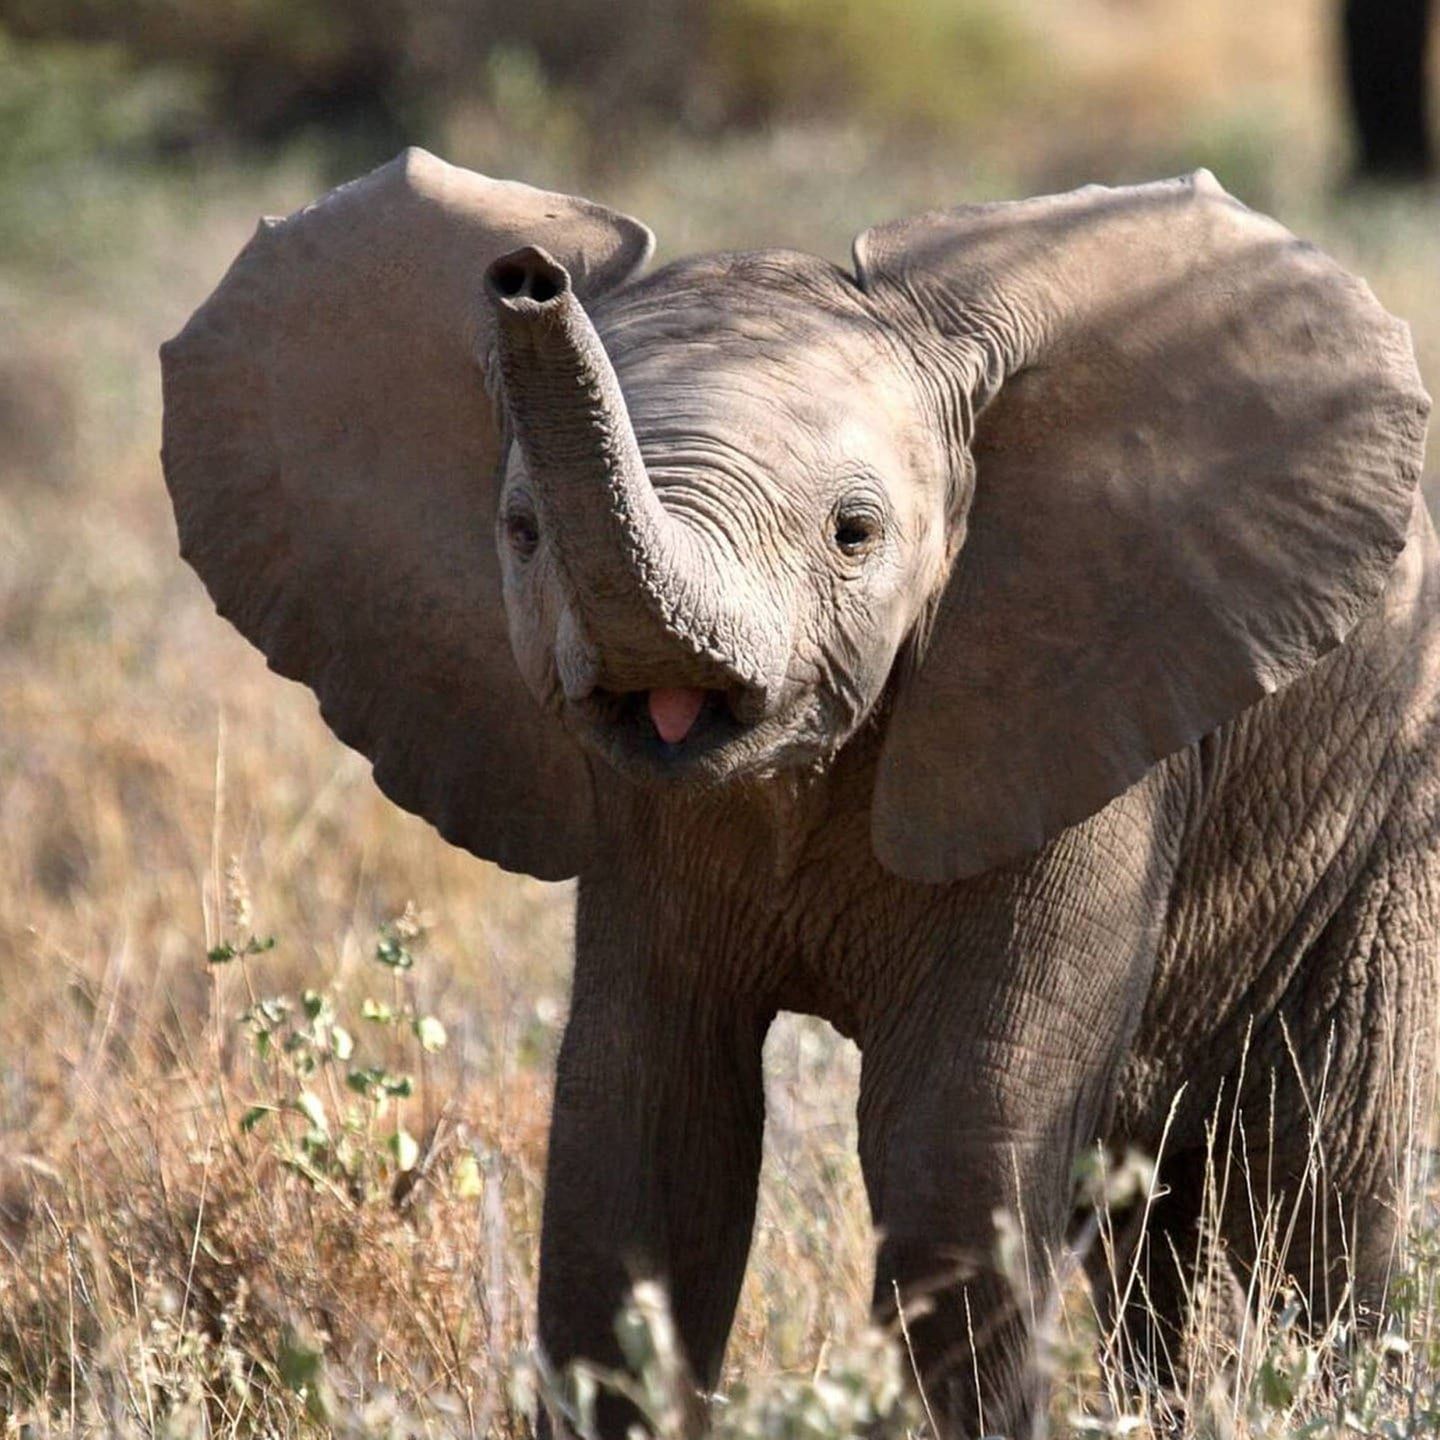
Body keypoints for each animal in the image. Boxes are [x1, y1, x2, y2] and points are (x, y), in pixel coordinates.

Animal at [160, 151, 1438, 1436]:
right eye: (520, 533)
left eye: (854, 533)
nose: (525, 277)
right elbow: (644, 1133)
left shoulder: (1075, 705)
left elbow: (955, 1140)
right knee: (1152, 1197)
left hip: (1391, 814)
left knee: (1319, 1172)